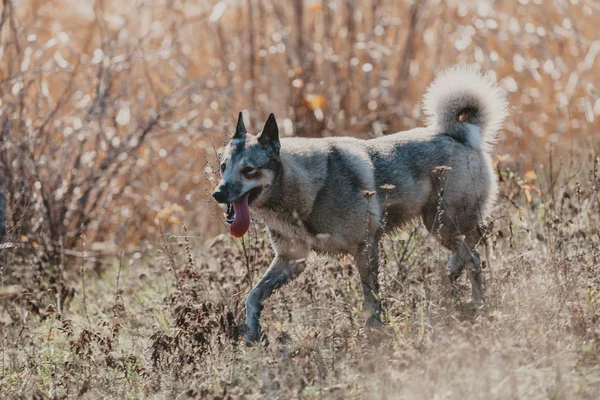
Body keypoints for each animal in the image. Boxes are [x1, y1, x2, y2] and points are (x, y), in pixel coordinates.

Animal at [211, 66, 506, 344]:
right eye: (223, 167)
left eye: (249, 170)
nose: (218, 194)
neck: (303, 188)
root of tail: (460, 135)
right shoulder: (291, 259)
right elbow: (253, 294)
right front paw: (252, 331)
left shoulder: (365, 246)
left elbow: (370, 295)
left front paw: (373, 332)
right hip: (438, 227)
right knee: (474, 259)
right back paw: (476, 302)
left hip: (443, 223)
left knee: (480, 233)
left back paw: (456, 268)